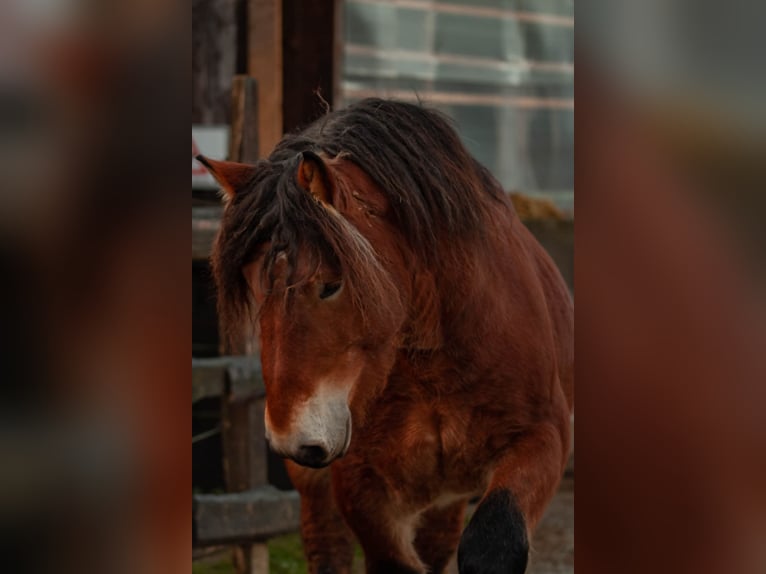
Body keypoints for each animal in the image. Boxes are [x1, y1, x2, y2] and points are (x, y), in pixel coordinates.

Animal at [201, 100, 572, 574]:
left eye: (331, 284)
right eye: (253, 284)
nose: (289, 436)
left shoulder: (544, 437)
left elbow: (494, 543)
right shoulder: (358, 478)